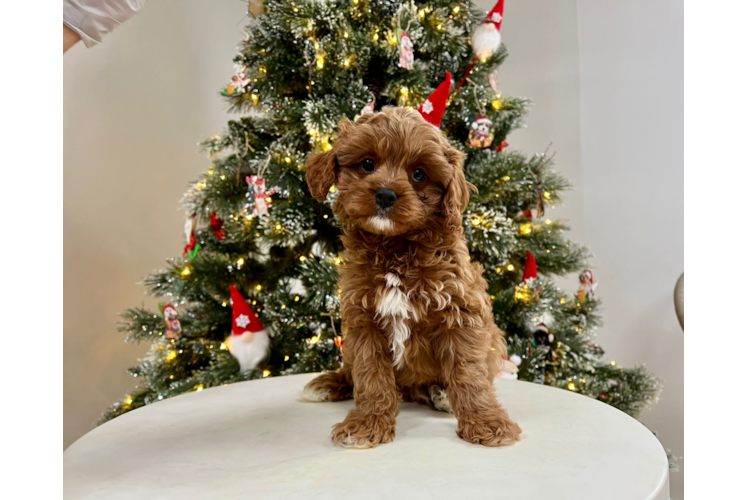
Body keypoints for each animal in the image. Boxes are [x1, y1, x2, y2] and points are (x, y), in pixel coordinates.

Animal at [302, 106, 520, 450]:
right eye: (367, 164)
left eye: (419, 174)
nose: (385, 194)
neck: (396, 248)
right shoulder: (363, 319)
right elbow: (370, 375)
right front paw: (367, 424)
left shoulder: (461, 311)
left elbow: (469, 373)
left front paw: (487, 422)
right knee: (350, 370)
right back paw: (330, 383)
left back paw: (442, 395)